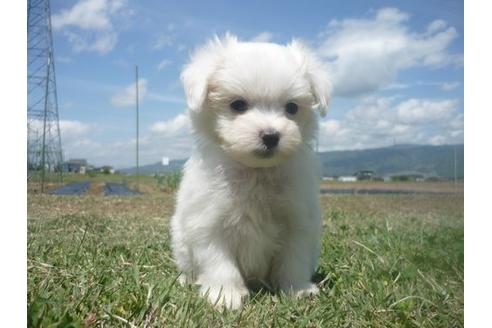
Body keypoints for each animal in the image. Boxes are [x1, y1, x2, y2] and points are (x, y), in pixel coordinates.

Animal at [171, 34, 332, 308]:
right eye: (238, 105)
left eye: (291, 108)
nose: (271, 136)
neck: (256, 172)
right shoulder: (209, 222)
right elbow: (219, 262)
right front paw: (225, 295)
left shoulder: (298, 220)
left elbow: (294, 258)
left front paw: (297, 289)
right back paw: (186, 280)